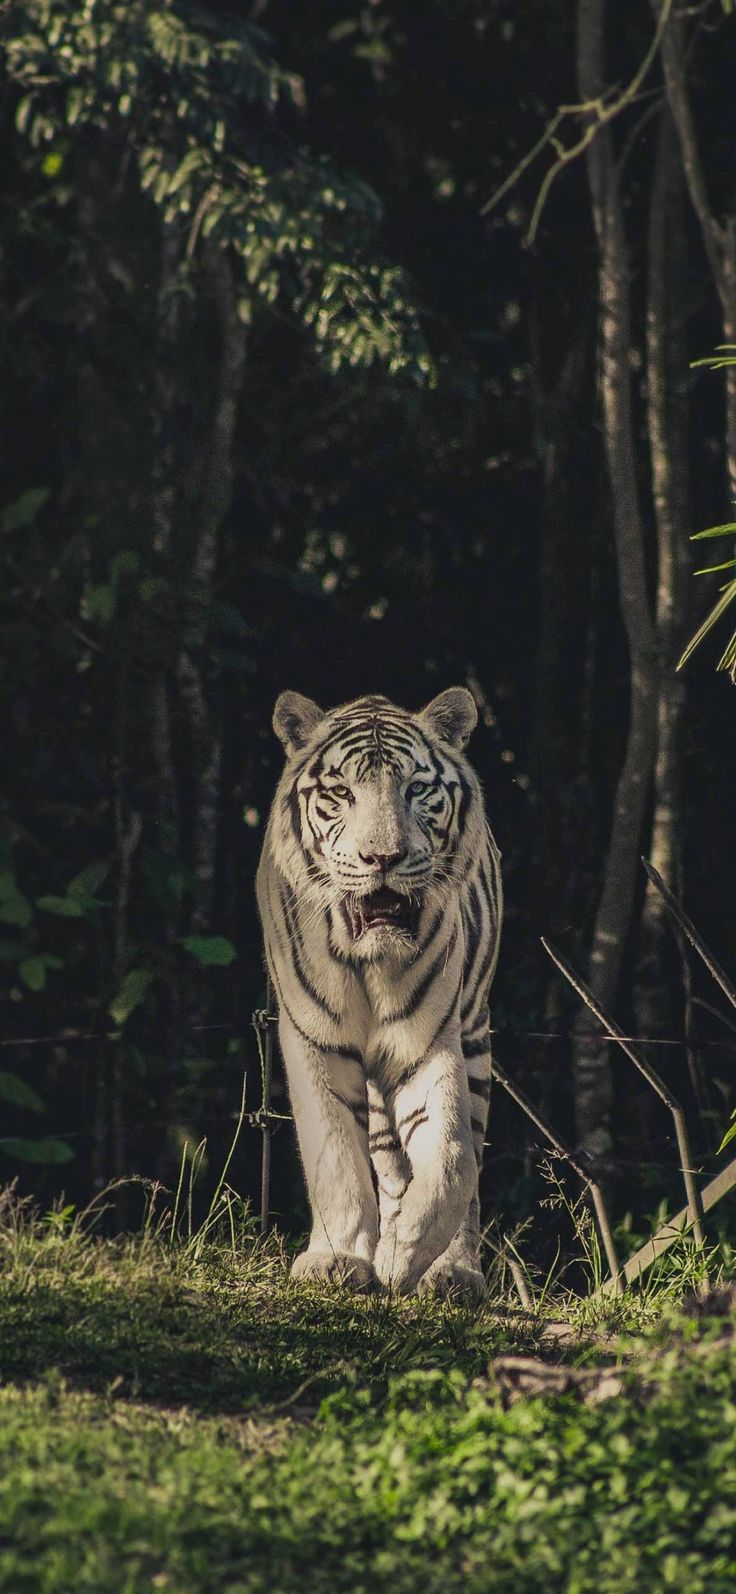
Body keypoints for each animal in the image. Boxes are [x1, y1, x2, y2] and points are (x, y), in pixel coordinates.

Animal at [256, 686, 502, 1299]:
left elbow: (453, 1157)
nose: (383, 859)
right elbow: (336, 1156)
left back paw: (452, 1272)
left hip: (475, 1034)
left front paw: (404, 1254)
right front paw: (340, 1258)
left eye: (416, 789)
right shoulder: (313, 1040)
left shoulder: (428, 1042)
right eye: (341, 792)